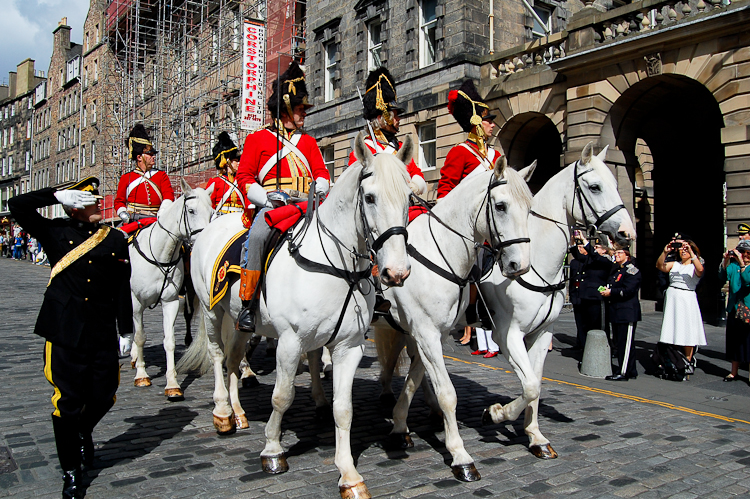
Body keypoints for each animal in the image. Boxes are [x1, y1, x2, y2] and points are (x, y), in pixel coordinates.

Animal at [129, 182, 214, 400]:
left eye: (211, 212)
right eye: (191, 211)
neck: (160, 255)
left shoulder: (171, 302)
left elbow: (169, 341)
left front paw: (173, 384)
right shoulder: (136, 302)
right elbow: (140, 336)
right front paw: (141, 375)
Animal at [179, 134, 414, 499]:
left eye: (408, 197)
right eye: (370, 197)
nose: (397, 272)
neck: (335, 266)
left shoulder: (348, 348)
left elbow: (343, 409)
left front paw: (349, 475)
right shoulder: (289, 343)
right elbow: (282, 396)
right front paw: (273, 450)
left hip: (241, 322)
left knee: (233, 360)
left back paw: (238, 412)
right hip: (210, 310)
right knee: (217, 355)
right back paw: (222, 413)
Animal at [370, 157, 536, 484]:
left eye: (529, 208)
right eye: (500, 206)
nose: (519, 265)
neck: (440, 252)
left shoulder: (434, 333)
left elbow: (415, 378)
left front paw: (400, 424)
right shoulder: (425, 333)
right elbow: (447, 393)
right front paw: (460, 455)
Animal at [484, 143, 636, 458]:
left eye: (617, 185)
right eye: (595, 186)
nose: (628, 233)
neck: (537, 265)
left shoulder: (542, 334)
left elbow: (536, 382)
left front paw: (535, 436)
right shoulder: (507, 334)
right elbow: (529, 385)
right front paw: (496, 413)